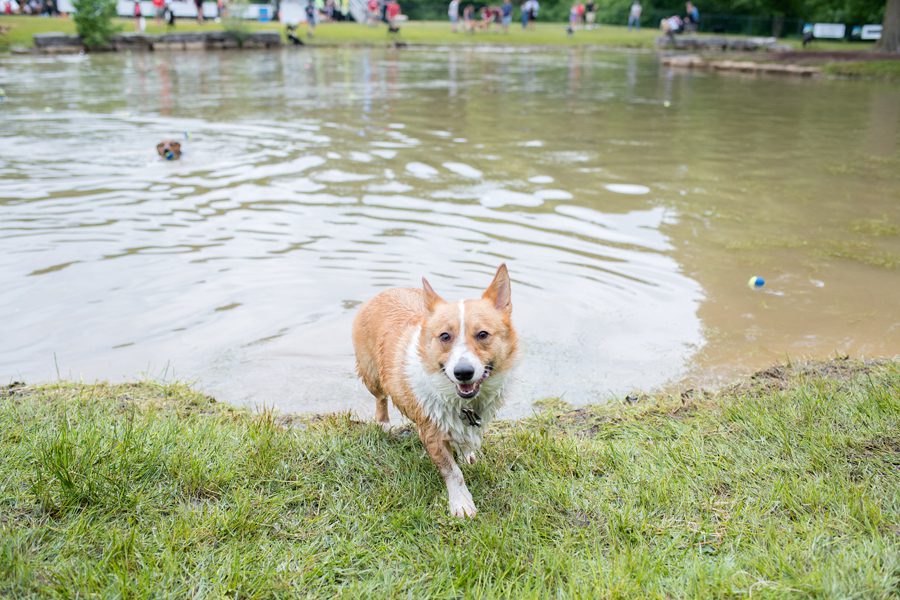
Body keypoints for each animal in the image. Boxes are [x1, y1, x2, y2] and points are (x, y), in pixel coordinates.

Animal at [354, 264, 520, 516]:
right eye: (445, 336)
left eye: (483, 334)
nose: (463, 372)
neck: (461, 401)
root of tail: (385, 292)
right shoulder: (431, 433)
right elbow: (453, 472)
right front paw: (461, 504)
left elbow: (465, 443)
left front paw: (468, 454)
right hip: (372, 374)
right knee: (380, 398)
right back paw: (383, 424)